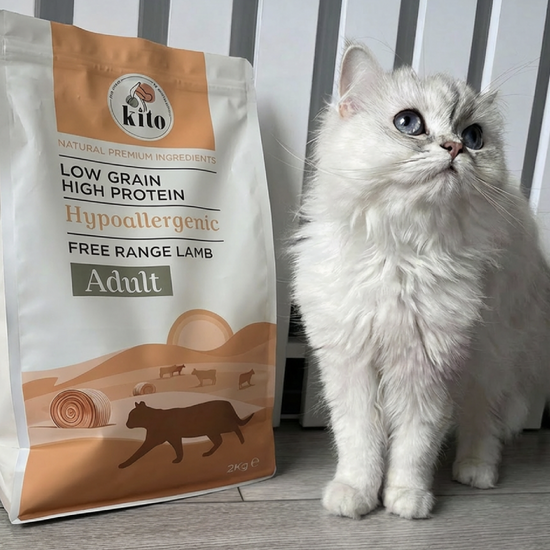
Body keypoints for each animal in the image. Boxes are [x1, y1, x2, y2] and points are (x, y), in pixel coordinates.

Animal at [119, 400, 254, 468]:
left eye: (132, 416)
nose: (126, 423)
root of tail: (226, 402)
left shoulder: (155, 440)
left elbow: (138, 452)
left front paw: (124, 464)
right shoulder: (172, 438)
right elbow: (179, 449)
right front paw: (179, 460)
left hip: (220, 426)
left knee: (235, 427)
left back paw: (242, 442)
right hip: (211, 431)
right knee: (219, 440)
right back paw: (208, 453)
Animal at [291, 43, 550, 520]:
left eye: (474, 136)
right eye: (408, 123)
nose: (455, 147)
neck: (401, 252)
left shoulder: (428, 371)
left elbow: (415, 446)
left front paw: (407, 501)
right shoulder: (351, 366)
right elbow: (360, 442)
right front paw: (355, 495)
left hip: (491, 359)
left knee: (483, 421)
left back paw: (475, 471)